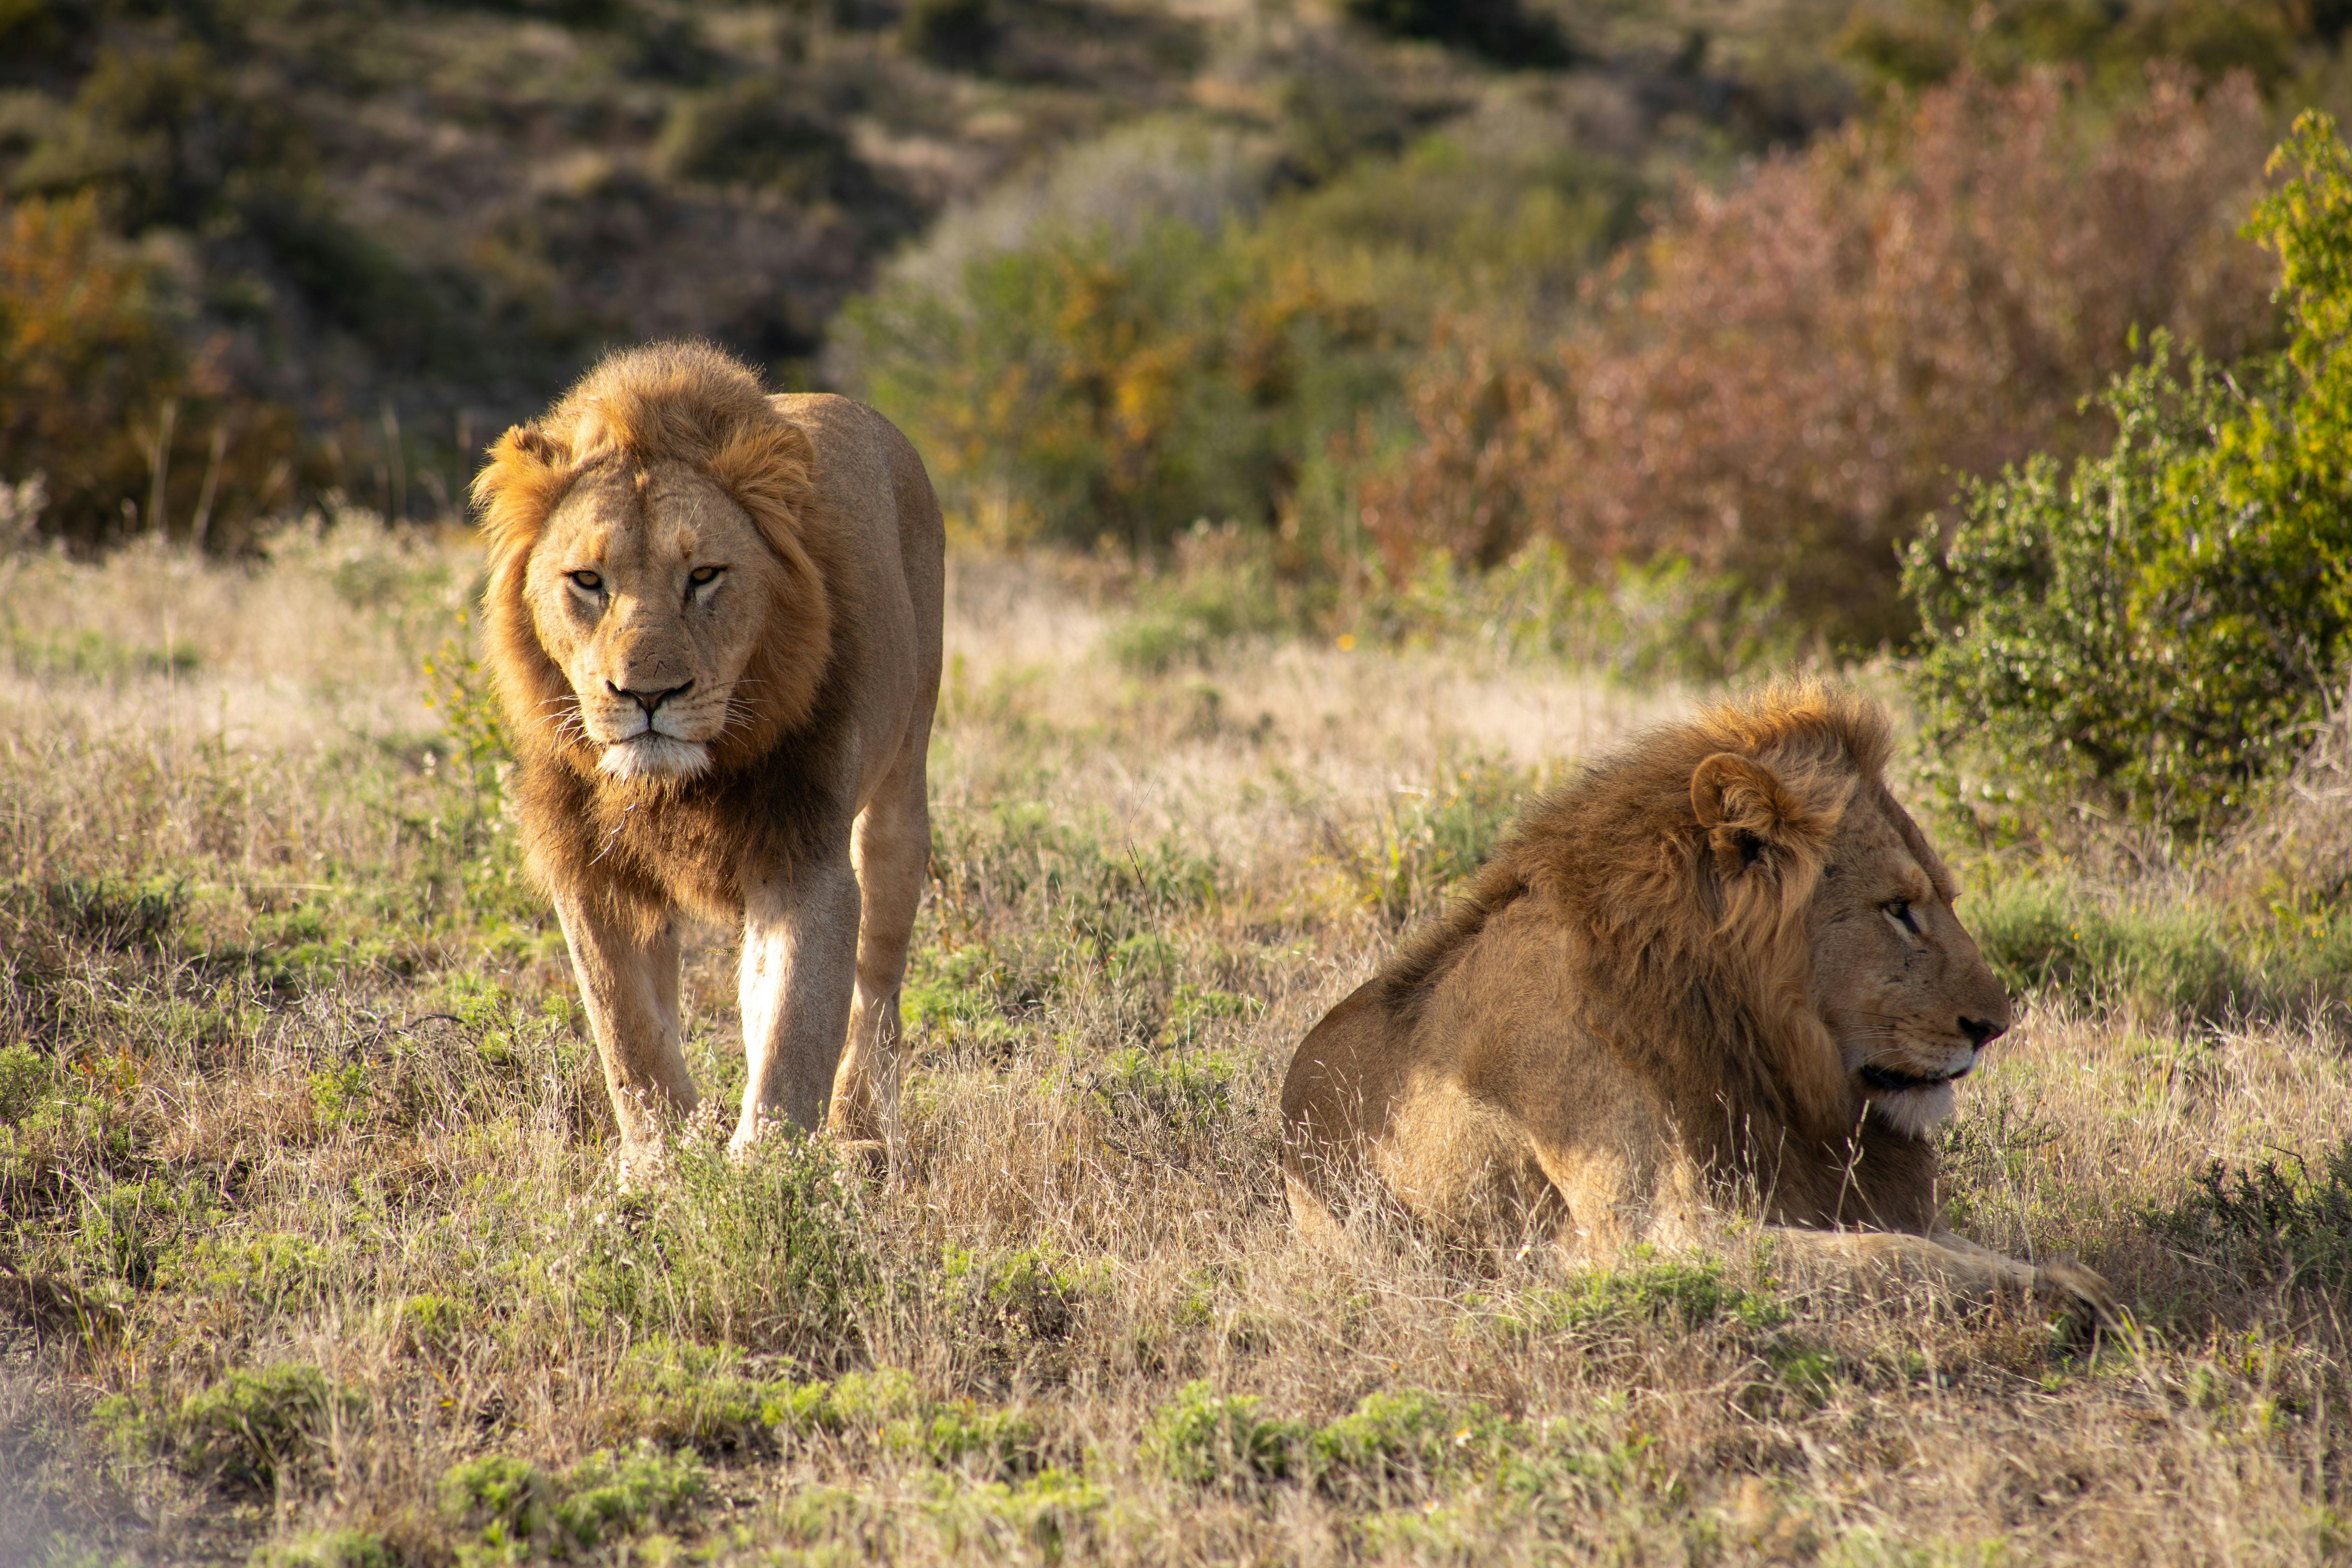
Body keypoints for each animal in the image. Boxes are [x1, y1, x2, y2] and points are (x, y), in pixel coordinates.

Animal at [472, 345, 941, 1175]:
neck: (677, 786)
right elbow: (629, 1035)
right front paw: (662, 1170)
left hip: (899, 794)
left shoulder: (805, 855)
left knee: (876, 990)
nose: (648, 693)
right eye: (587, 580)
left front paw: (767, 1178)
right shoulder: (593, 868)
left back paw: (860, 1131)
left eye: (704, 576)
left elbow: (797, 1031)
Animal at [1279, 691, 2126, 1316]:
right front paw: (2067, 1293)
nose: (1994, 1028)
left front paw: (2054, 1271)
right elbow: (1893, 1260)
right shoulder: (1656, 1236)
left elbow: (1936, 1245)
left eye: (1944, 899)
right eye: (1898, 908)